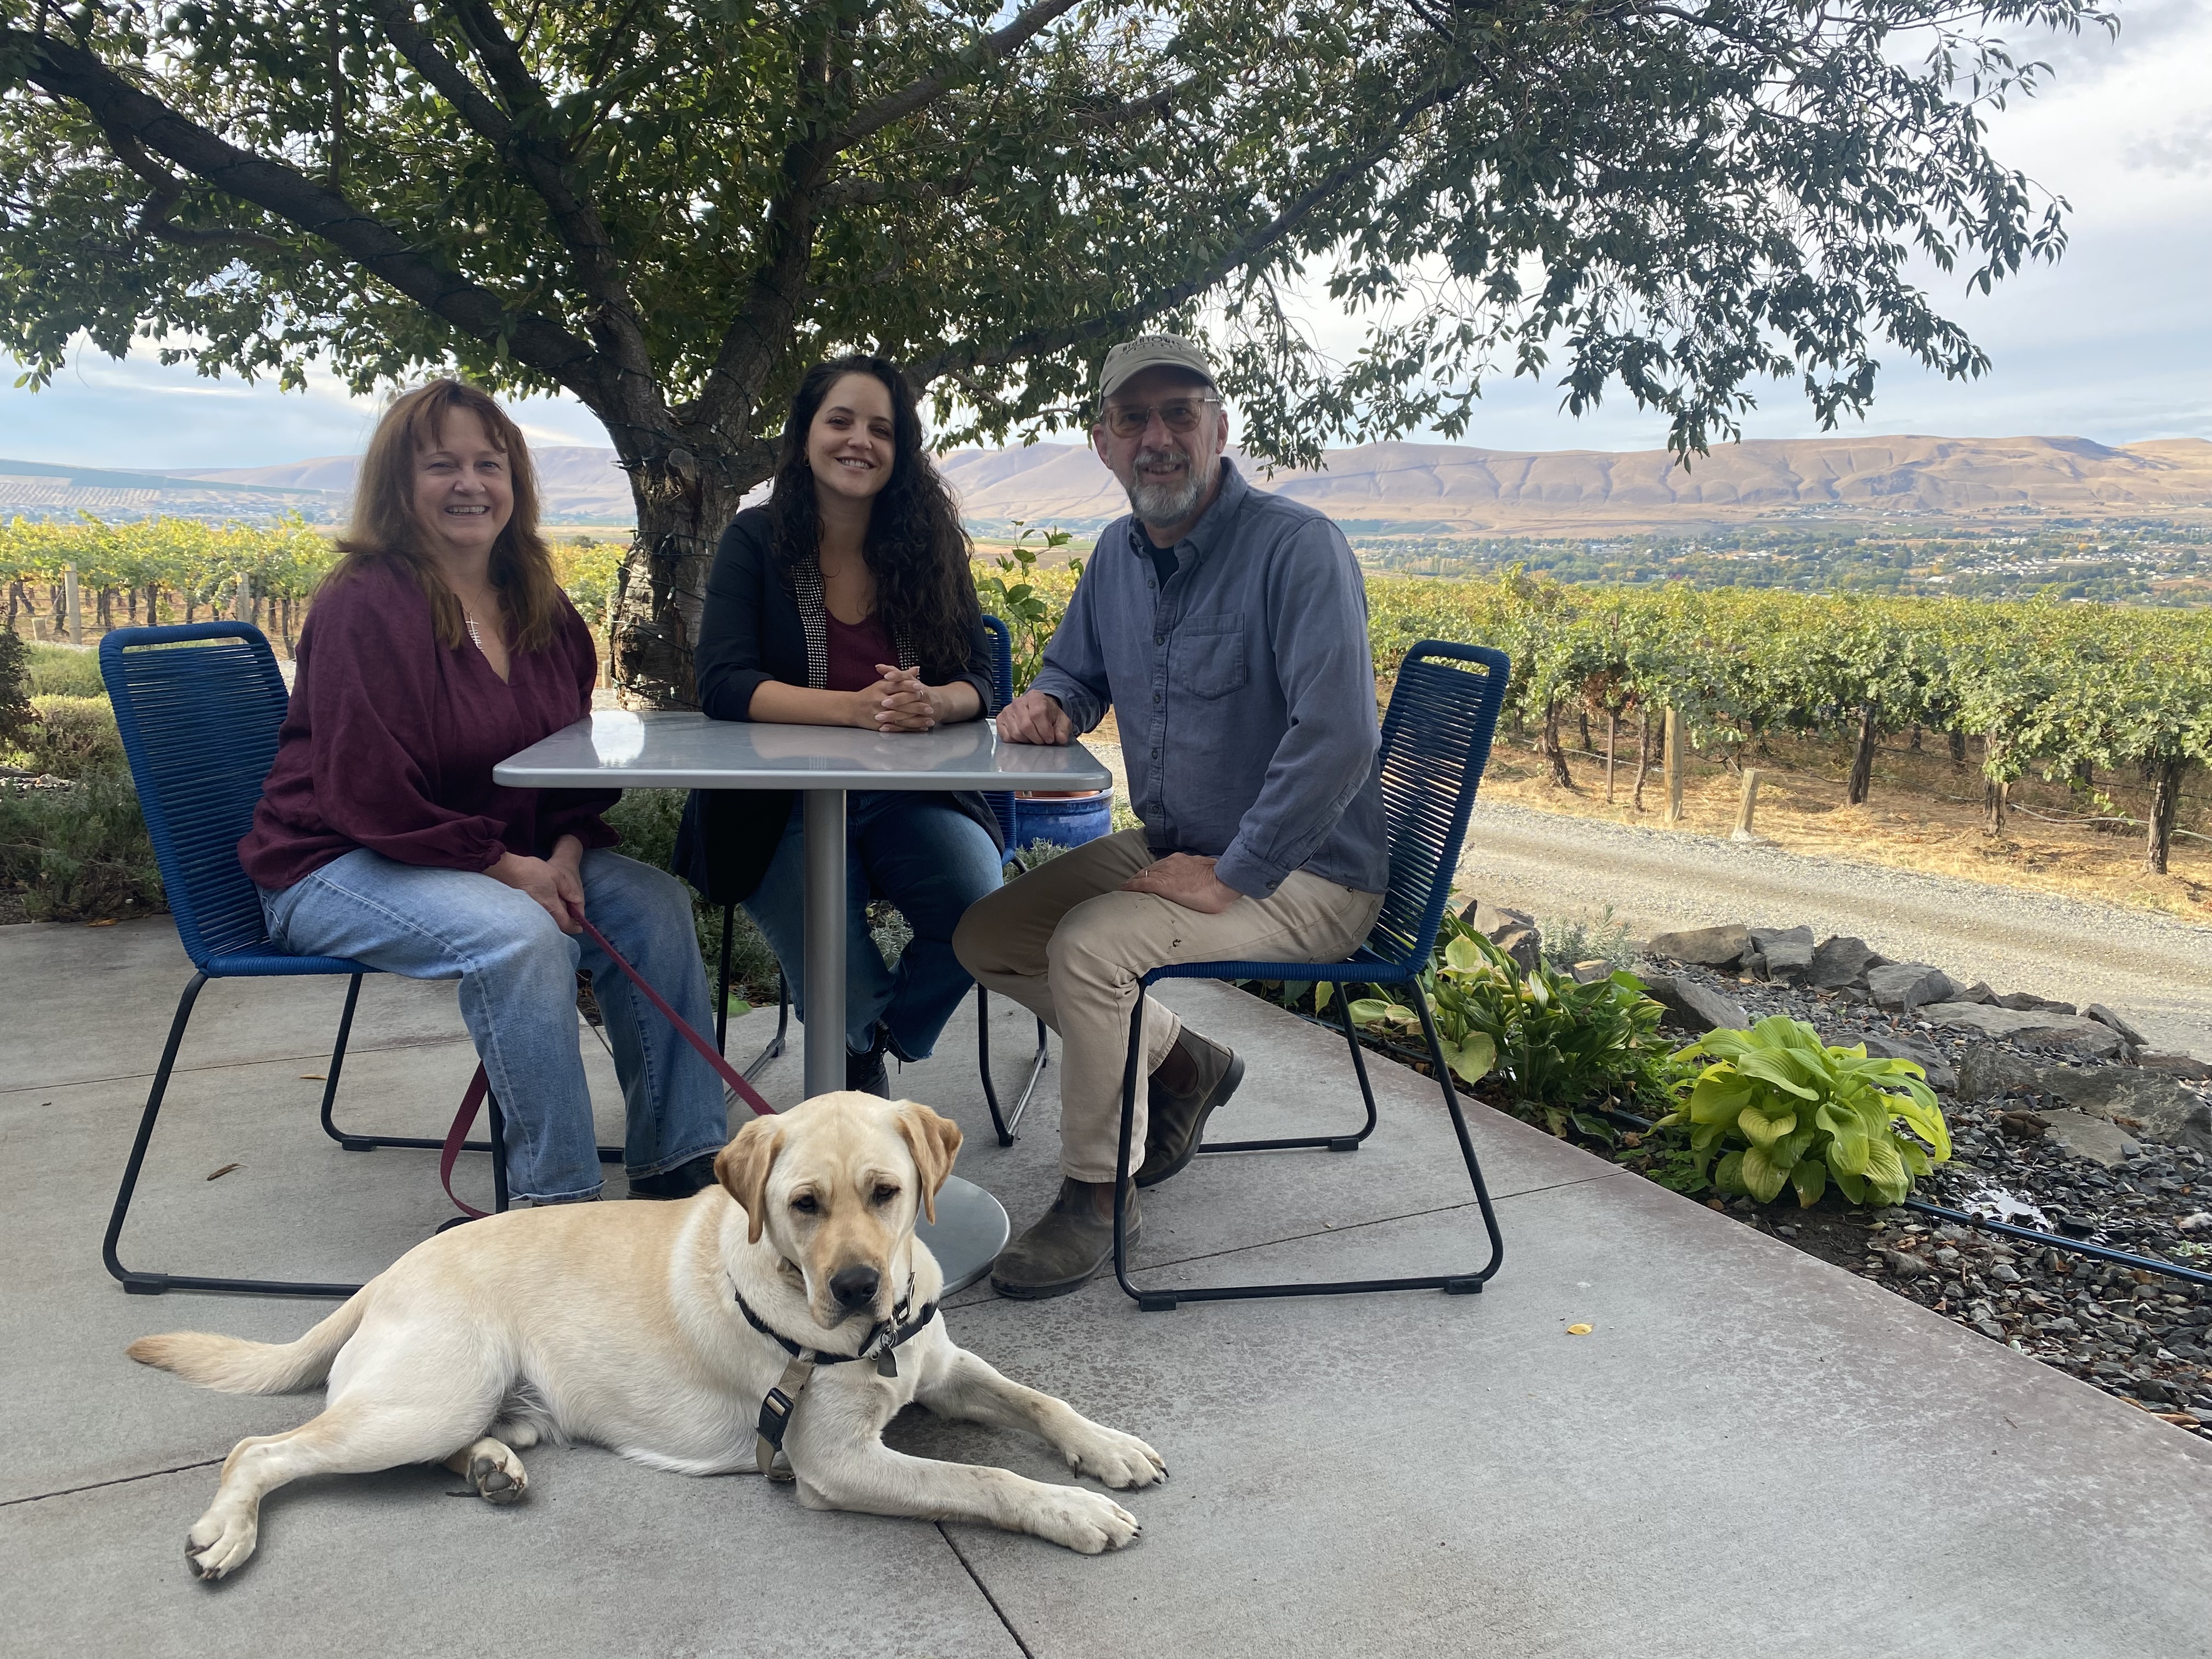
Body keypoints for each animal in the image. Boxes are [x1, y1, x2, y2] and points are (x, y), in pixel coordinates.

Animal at [125, 1092, 1159, 1583]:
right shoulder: (838, 1462)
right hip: (425, 1398)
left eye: (886, 1192)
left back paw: (491, 1467)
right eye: (803, 1204)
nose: (859, 1287)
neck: (866, 1340)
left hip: (473, 1405)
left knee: (453, 1444)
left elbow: (1040, 1401)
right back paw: (228, 1531)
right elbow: (980, 1476)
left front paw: (1106, 1449)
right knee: (260, 1447)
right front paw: (1070, 1509)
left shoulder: (942, 1365)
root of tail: (385, 1274)